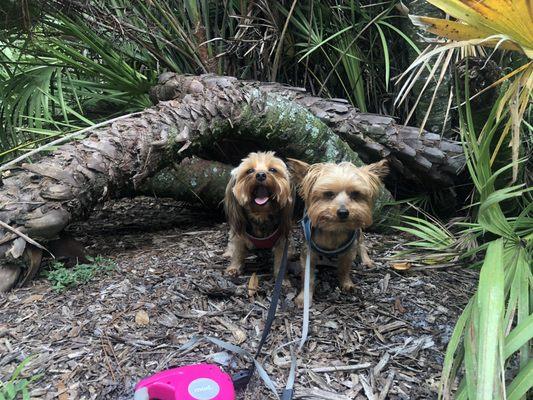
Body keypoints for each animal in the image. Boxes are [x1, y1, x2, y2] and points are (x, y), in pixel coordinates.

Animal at [221, 152, 298, 280]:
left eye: (273, 170)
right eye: (250, 170)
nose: (261, 175)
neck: (261, 214)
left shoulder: (282, 241)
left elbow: (280, 260)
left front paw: (281, 278)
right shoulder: (239, 235)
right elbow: (237, 251)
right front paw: (234, 268)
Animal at [288, 159, 388, 306]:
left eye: (355, 194)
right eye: (328, 194)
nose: (343, 212)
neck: (334, 230)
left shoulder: (349, 251)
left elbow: (345, 268)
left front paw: (347, 284)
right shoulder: (308, 253)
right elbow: (308, 278)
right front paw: (303, 298)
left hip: (358, 230)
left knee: (362, 242)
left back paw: (367, 260)